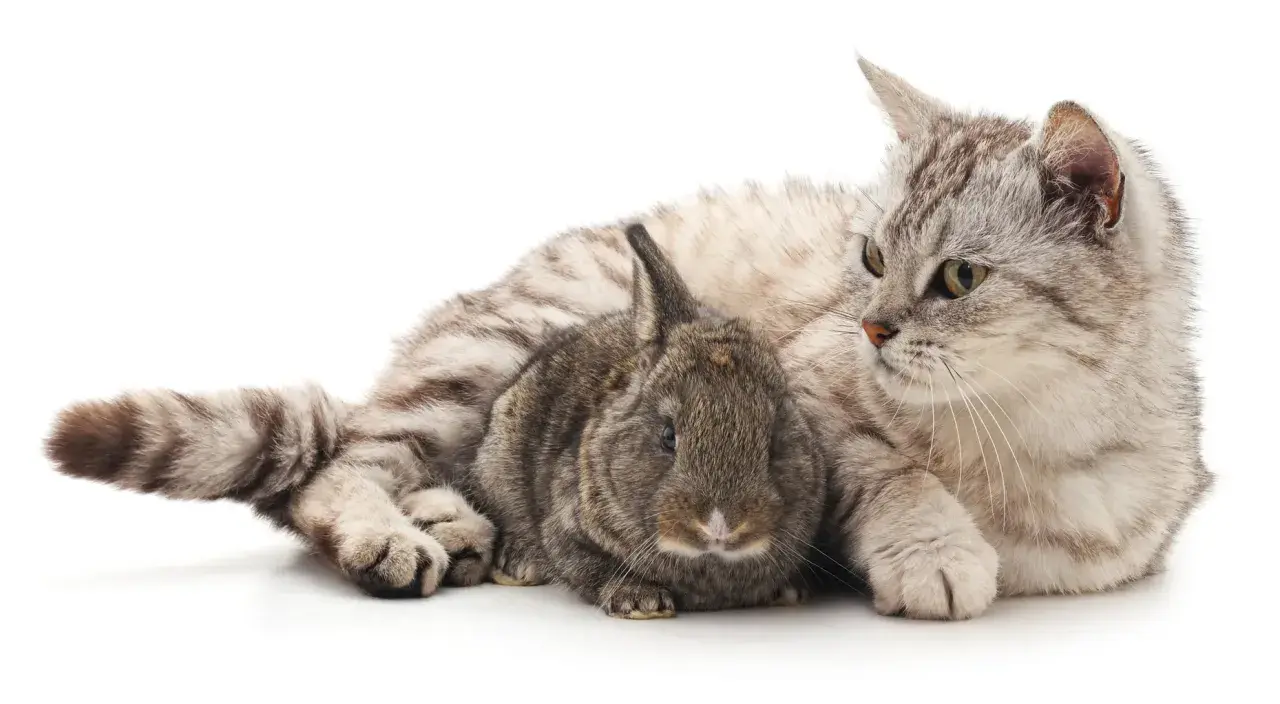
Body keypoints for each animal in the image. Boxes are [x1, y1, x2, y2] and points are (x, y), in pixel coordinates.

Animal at [456, 223, 827, 619]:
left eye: (775, 442)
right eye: (668, 436)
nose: (720, 524)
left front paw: (788, 591)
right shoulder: (566, 531)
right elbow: (589, 567)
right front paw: (640, 601)